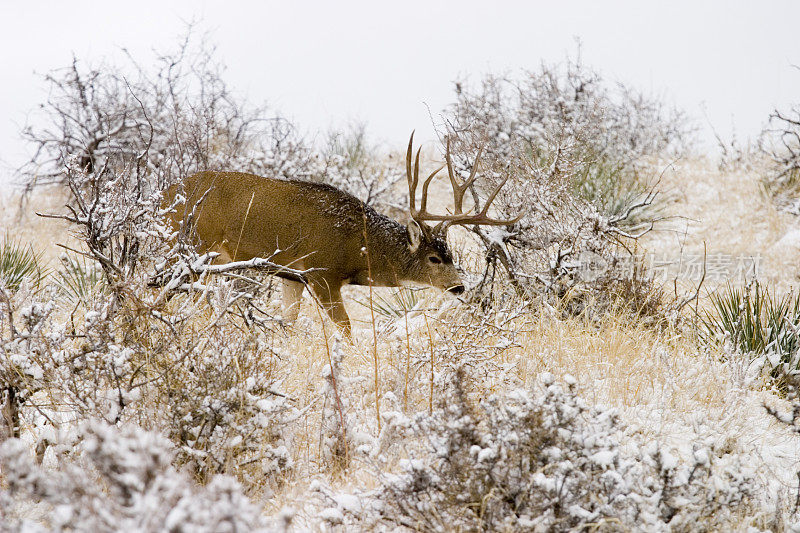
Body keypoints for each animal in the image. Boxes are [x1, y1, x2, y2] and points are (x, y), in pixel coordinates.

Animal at [166, 134, 520, 332]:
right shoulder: (321, 273)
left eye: (451, 254)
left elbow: (287, 322)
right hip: (194, 248)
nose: (459, 286)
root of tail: (165, 194)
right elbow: (346, 329)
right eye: (434, 258)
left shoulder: (291, 276)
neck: (357, 244)